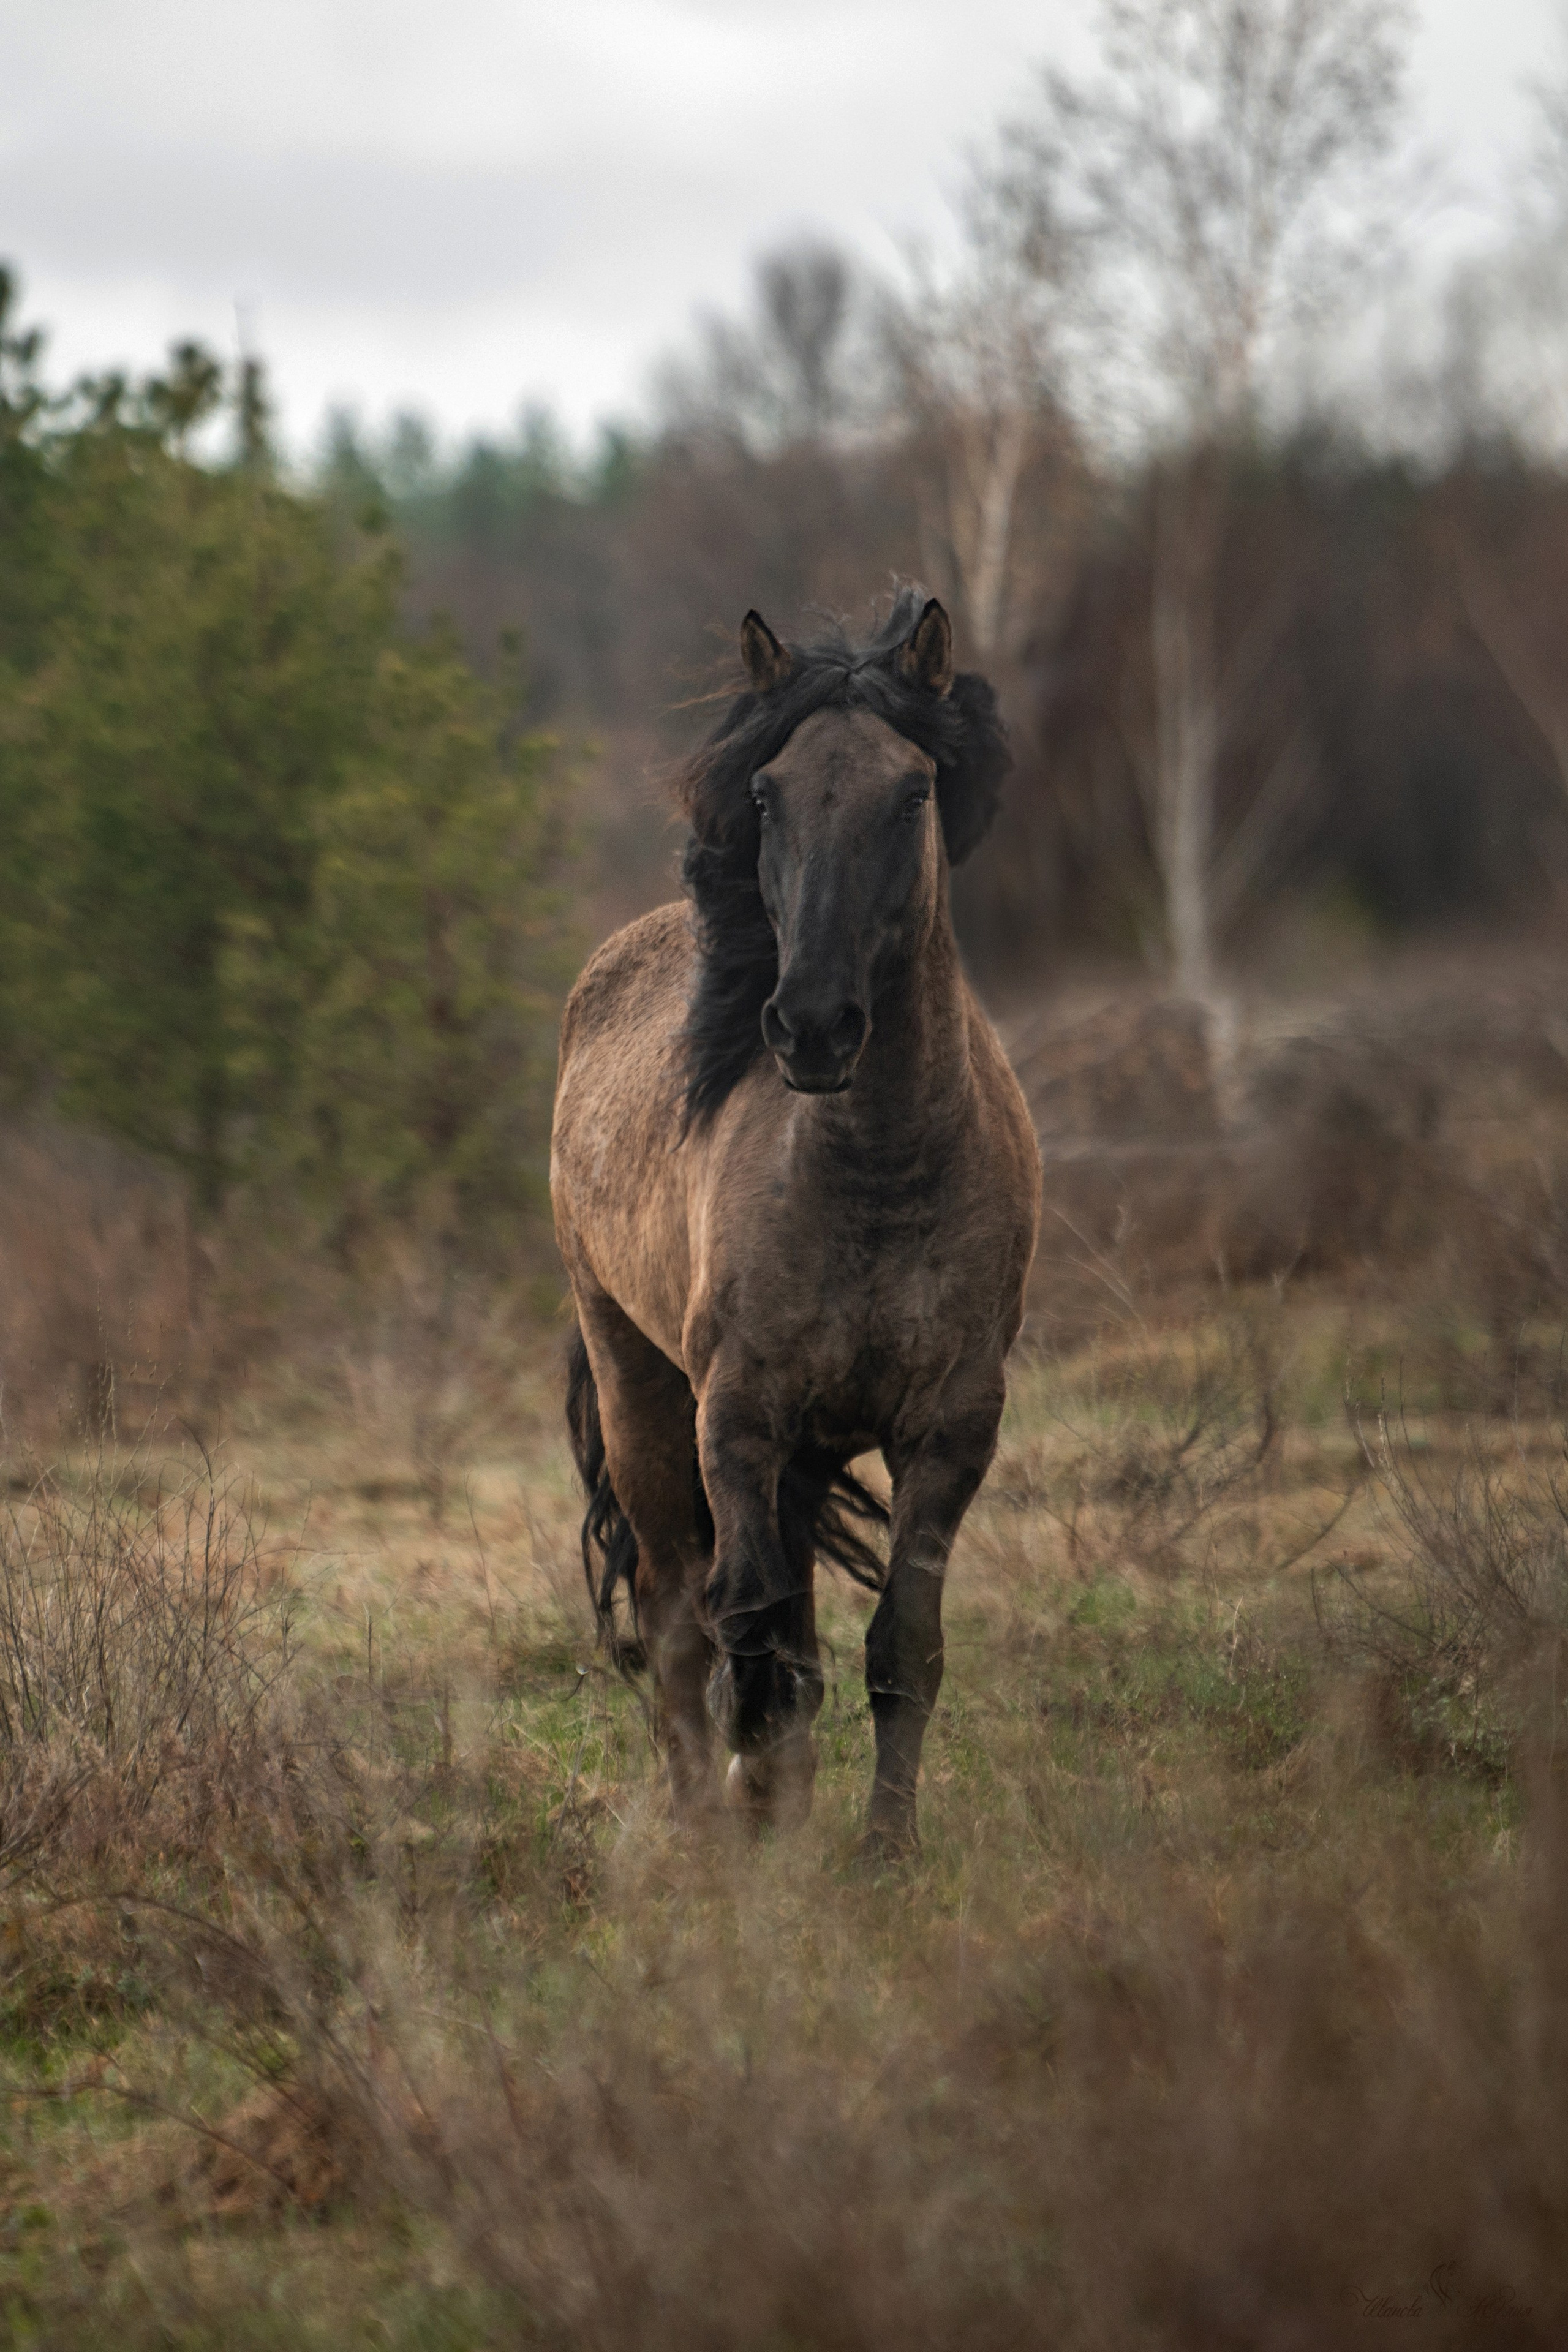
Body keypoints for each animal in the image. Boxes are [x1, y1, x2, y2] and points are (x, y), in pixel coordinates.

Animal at [550, 589, 1040, 1854]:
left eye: (912, 793)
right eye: (766, 794)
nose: (812, 1025)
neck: (879, 1170)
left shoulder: (952, 1430)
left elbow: (898, 1648)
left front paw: (882, 1852)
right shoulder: (738, 1420)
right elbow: (751, 1636)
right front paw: (755, 1836)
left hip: (813, 1450)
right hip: (640, 1387)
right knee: (676, 1610)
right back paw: (694, 1818)